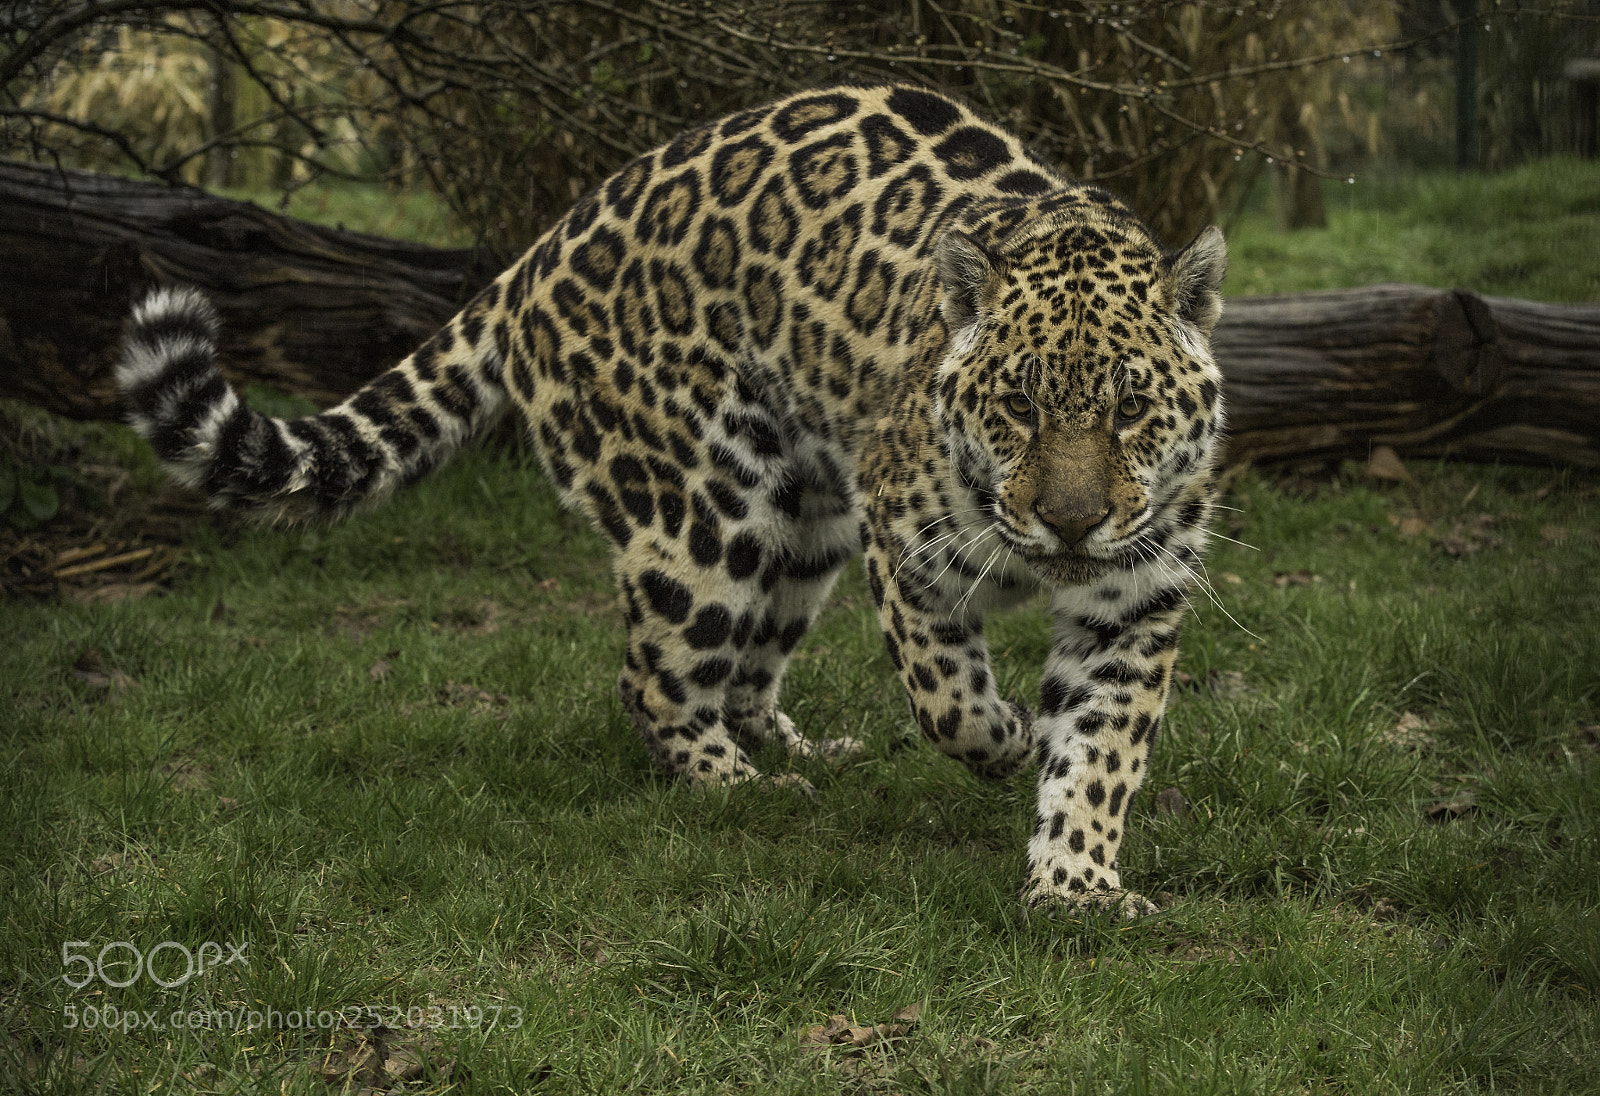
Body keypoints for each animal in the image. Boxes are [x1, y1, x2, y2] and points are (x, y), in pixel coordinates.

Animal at [117, 84, 1227, 917]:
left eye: (1131, 407)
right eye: (1017, 405)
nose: (1071, 522)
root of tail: (539, 251)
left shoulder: (1133, 602)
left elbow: (1101, 750)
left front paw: (1077, 883)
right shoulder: (904, 540)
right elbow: (946, 696)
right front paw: (1006, 737)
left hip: (804, 521)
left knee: (746, 665)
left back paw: (795, 748)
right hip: (707, 514)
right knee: (652, 676)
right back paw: (738, 789)